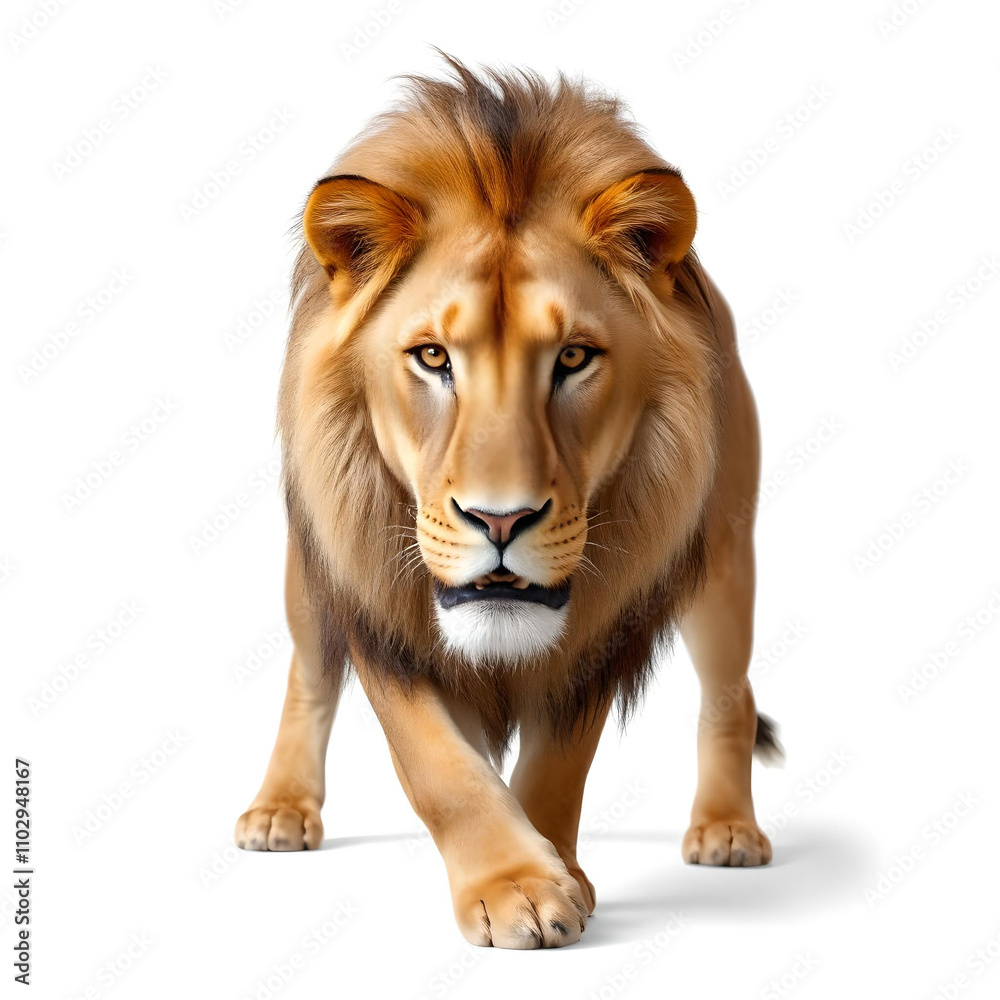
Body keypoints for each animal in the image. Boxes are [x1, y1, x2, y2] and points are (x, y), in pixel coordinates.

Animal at [235, 55, 781, 949]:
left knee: (729, 696)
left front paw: (555, 878)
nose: (500, 520)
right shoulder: (382, 608)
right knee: (308, 675)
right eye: (431, 357)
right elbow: (439, 766)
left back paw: (727, 830)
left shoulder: (603, 625)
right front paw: (514, 886)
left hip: (725, 559)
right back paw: (280, 809)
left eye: (574, 357)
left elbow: (558, 766)